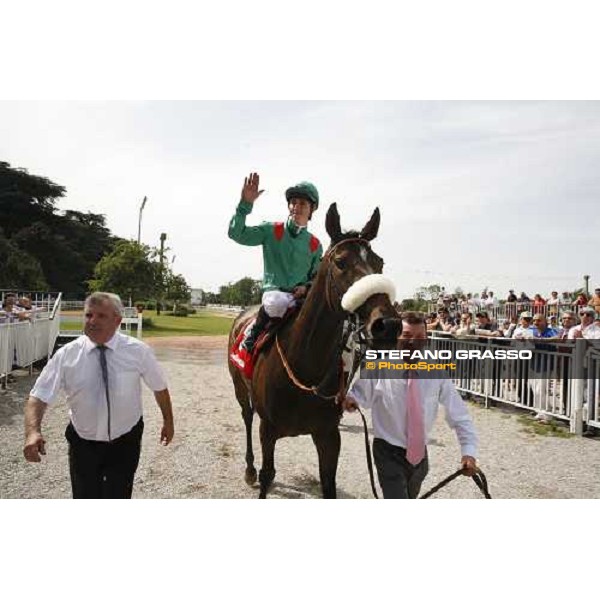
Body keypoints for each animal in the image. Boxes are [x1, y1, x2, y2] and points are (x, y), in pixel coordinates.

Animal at [227, 204, 400, 500]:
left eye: (380, 263)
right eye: (341, 262)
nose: (387, 325)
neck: (305, 366)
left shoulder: (328, 435)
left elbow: (328, 484)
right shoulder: (268, 430)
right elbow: (267, 474)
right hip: (240, 389)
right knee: (247, 417)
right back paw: (248, 469)